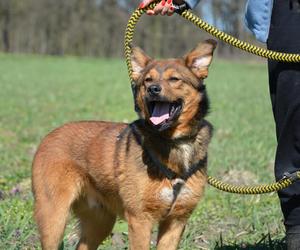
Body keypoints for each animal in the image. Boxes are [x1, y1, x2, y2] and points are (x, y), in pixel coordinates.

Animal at [32, 38, 216, 248]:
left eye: (174, 79)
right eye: (148, 80)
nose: (153, 89)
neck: (173, 140)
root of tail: (49, 135)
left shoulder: (176, 220)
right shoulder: (140, 219)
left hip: (100, 221)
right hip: (54, 217)